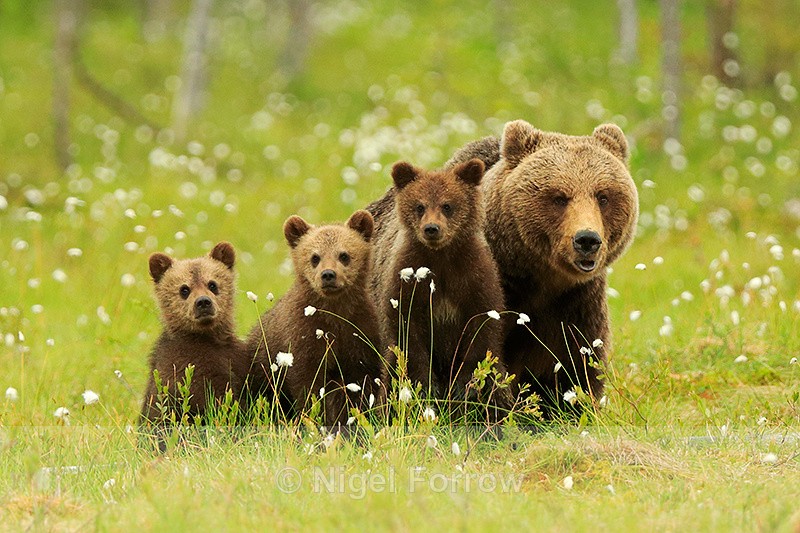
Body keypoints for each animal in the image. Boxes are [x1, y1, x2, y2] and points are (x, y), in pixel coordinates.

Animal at [140, 242, 248, 427]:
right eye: (184, 289)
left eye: (212, 284)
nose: (203, 302)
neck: (205, 336)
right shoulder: (183, 364)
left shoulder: (234, 356)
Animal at [246, 210, 386, 430]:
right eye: (314, 257)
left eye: (344, 255)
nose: (328, 275)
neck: (334, 317)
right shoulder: (303, 340)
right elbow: (308, 387)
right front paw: (316, 418)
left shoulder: (359, 337)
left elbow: (360, 385)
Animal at [367, 158, 510, 408]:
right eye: (419, 206)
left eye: (447, 206)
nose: (431, 229)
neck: (441, 256)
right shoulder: (409, 277)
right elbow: (407, 329)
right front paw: (427, 387)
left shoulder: (474, 276)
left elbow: (482, 325)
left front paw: (463, 388)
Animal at [445, 120, 639, 413]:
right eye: (559, 197)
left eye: (603, 196)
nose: (587, 239)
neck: (542, 281)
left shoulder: (577, 306)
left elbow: (577, 369)